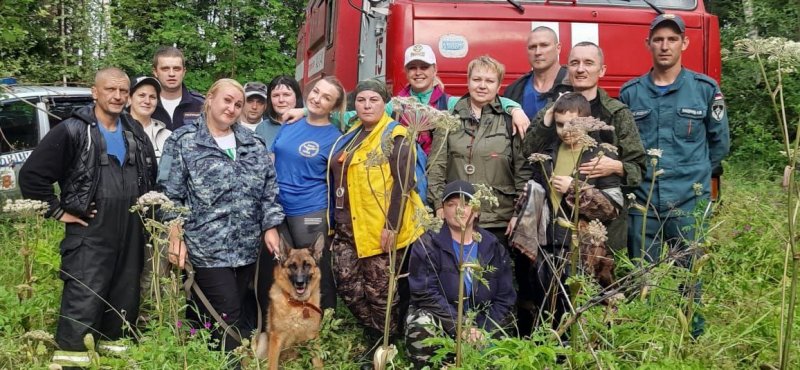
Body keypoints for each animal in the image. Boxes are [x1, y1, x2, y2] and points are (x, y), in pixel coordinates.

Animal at [253, 233, 322, 368]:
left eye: (307, 265)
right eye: (292, 266)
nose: (300, 283)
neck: (298, 304)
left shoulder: (313, 336)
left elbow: (318, 362)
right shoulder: (276, 339)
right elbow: (272, 365)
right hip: (263, 338)